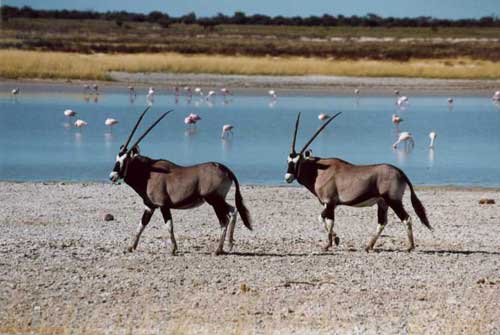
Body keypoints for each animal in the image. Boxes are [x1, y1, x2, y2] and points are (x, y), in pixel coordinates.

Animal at [109, 106, 250, 256]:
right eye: (117, 158)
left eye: (125, 160)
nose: (112, 176)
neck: (149, 172)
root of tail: (226, 169)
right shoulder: (150, 206)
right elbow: (141, 224)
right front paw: (131, 247)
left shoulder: (163, 205)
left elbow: (168, 225)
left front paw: (173, 249)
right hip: (218, 200)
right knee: (233, 211)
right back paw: (228, 244)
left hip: (214, 200)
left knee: (224, 220)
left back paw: (218, 250)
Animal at [286, 113, 434, 252]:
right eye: (288, 161)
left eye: (298, 162)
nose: (288, 177)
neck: (320, 170)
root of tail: (400, 172)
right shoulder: (330, 205)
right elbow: (327, 221)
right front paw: (335, 240)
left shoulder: (329, 203)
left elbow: (324, 220)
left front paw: (329, 243)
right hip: (383, 203)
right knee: (382, 222)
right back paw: (369, 246)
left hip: (393, 201)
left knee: (406, 218)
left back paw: (410, 247)